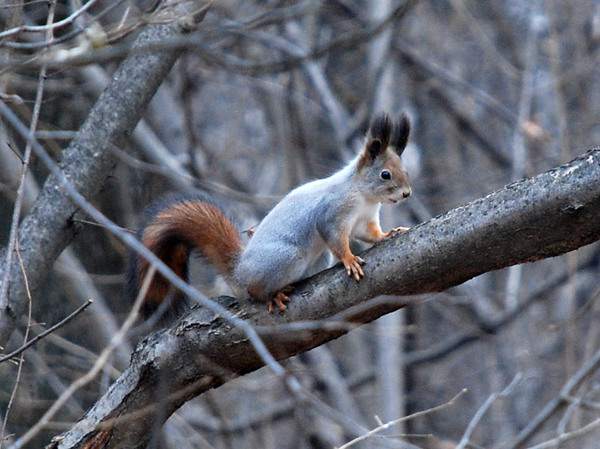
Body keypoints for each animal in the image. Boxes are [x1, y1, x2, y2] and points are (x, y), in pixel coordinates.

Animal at [130, 111, 412, 316]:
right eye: (385, 174)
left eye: (405, 170)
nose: (407, 193)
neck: (365, 196)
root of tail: (240, 270)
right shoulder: (333, 211)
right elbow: (334, 236)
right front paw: (350, 259)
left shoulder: (366, 218)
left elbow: (370, 234)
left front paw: (389, 234)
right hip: (287, 257)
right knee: (255, 290)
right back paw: (272, 294)